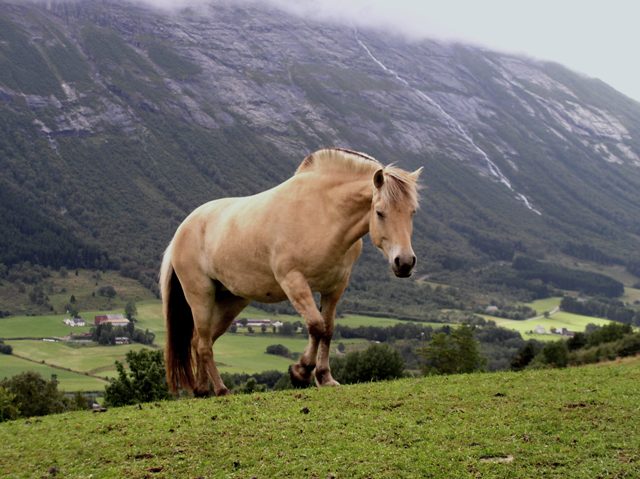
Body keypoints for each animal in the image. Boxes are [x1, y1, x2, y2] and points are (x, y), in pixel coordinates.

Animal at [160, 147, 422, 396]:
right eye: (379, 212)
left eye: (412, 212)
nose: (405, 262)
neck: (323, 214)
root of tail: (183, 229)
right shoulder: (294, 281)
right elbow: (316, 325)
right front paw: (301, 372)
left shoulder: (334, 288)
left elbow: (328, 330)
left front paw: (325, 378)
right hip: (201, 296)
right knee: (204, 344)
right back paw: (222, 389)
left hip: (231, 301)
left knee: (201, 341)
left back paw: (202, 390)